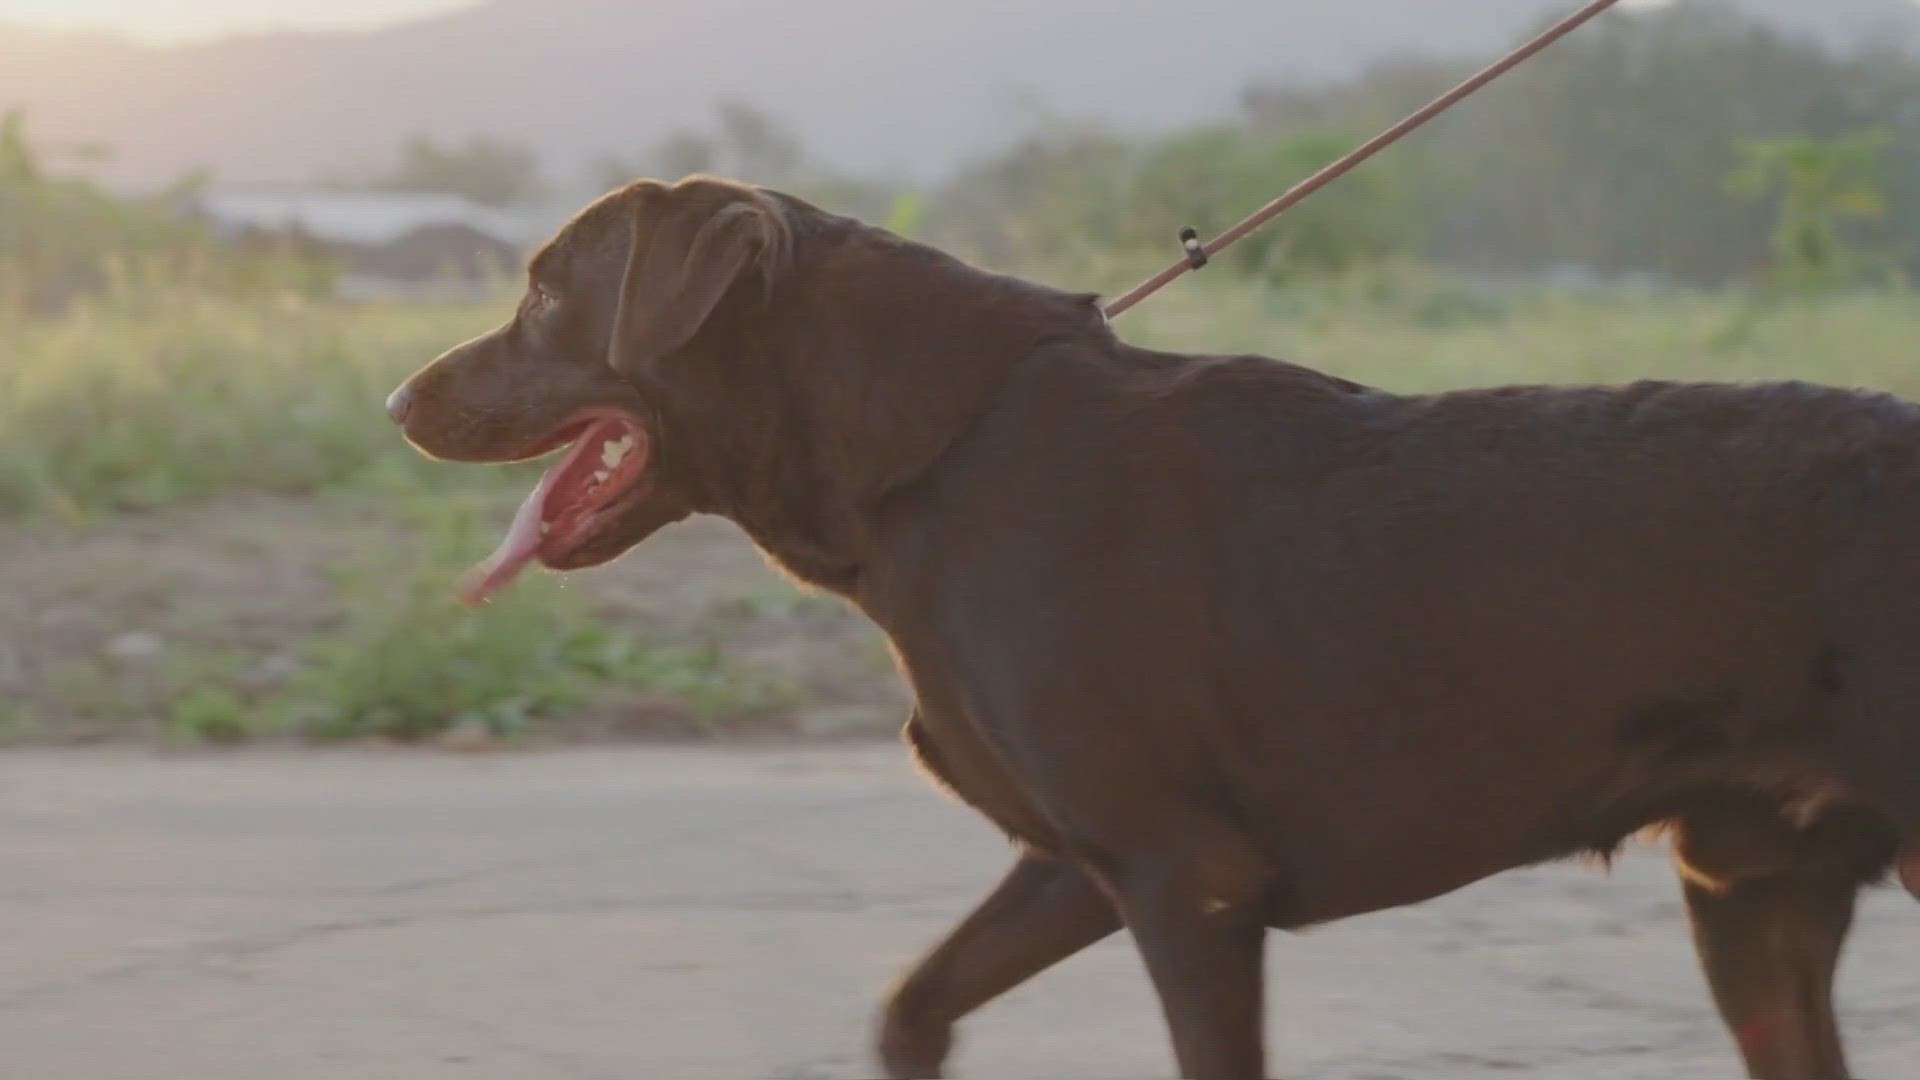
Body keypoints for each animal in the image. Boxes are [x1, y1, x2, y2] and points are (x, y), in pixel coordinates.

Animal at [385, 176, 1920, 1076]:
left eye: (544, 292)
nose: (397, 400)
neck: (935, 457)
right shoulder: (1084, 863)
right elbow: (912, 1004)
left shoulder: (1190, 885)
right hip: (1750, 893)